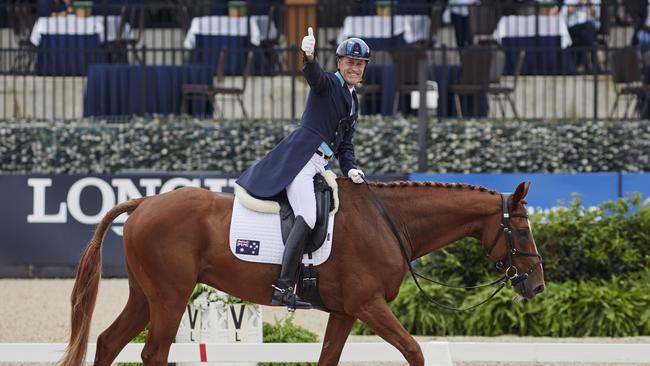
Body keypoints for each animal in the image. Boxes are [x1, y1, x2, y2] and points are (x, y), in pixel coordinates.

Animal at [59, 179, 540, 366]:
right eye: (521, 229)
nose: (536, 285)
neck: (388, 222)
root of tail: (144, 202)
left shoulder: (346, 312)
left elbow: (328, 358)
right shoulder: (369, 305)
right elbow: (415, 351)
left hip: (146, 296)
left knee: (109, 342)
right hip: (170, 298)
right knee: (152, 353)